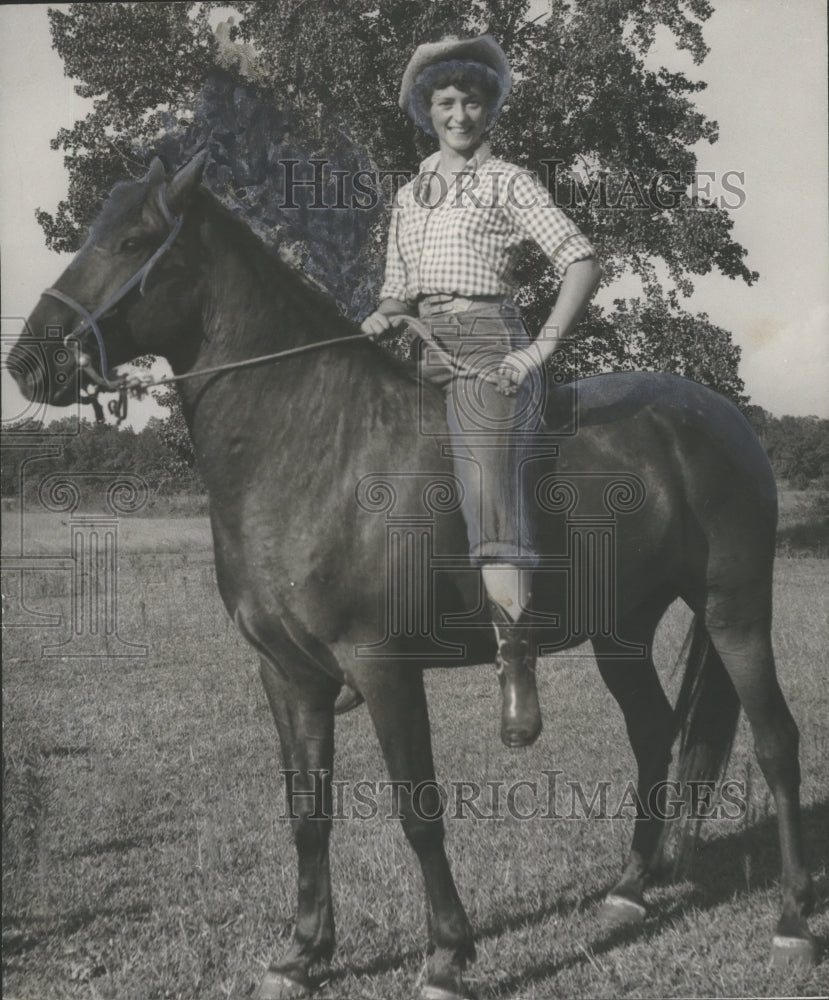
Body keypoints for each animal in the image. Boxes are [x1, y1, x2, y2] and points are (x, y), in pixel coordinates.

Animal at [11, 152, 816, 996]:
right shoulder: (287, 674)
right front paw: (304, 954)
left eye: (134, 240)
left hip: (733, 610)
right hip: (621, 631)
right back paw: (629, 891)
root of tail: (720, 417)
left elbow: (417, 808)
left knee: (775, 743)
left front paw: (448, 956)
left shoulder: (384, 668)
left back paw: (792, 920)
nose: (28, 360)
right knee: (654, 732)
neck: (318, 446)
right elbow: (308, 811)